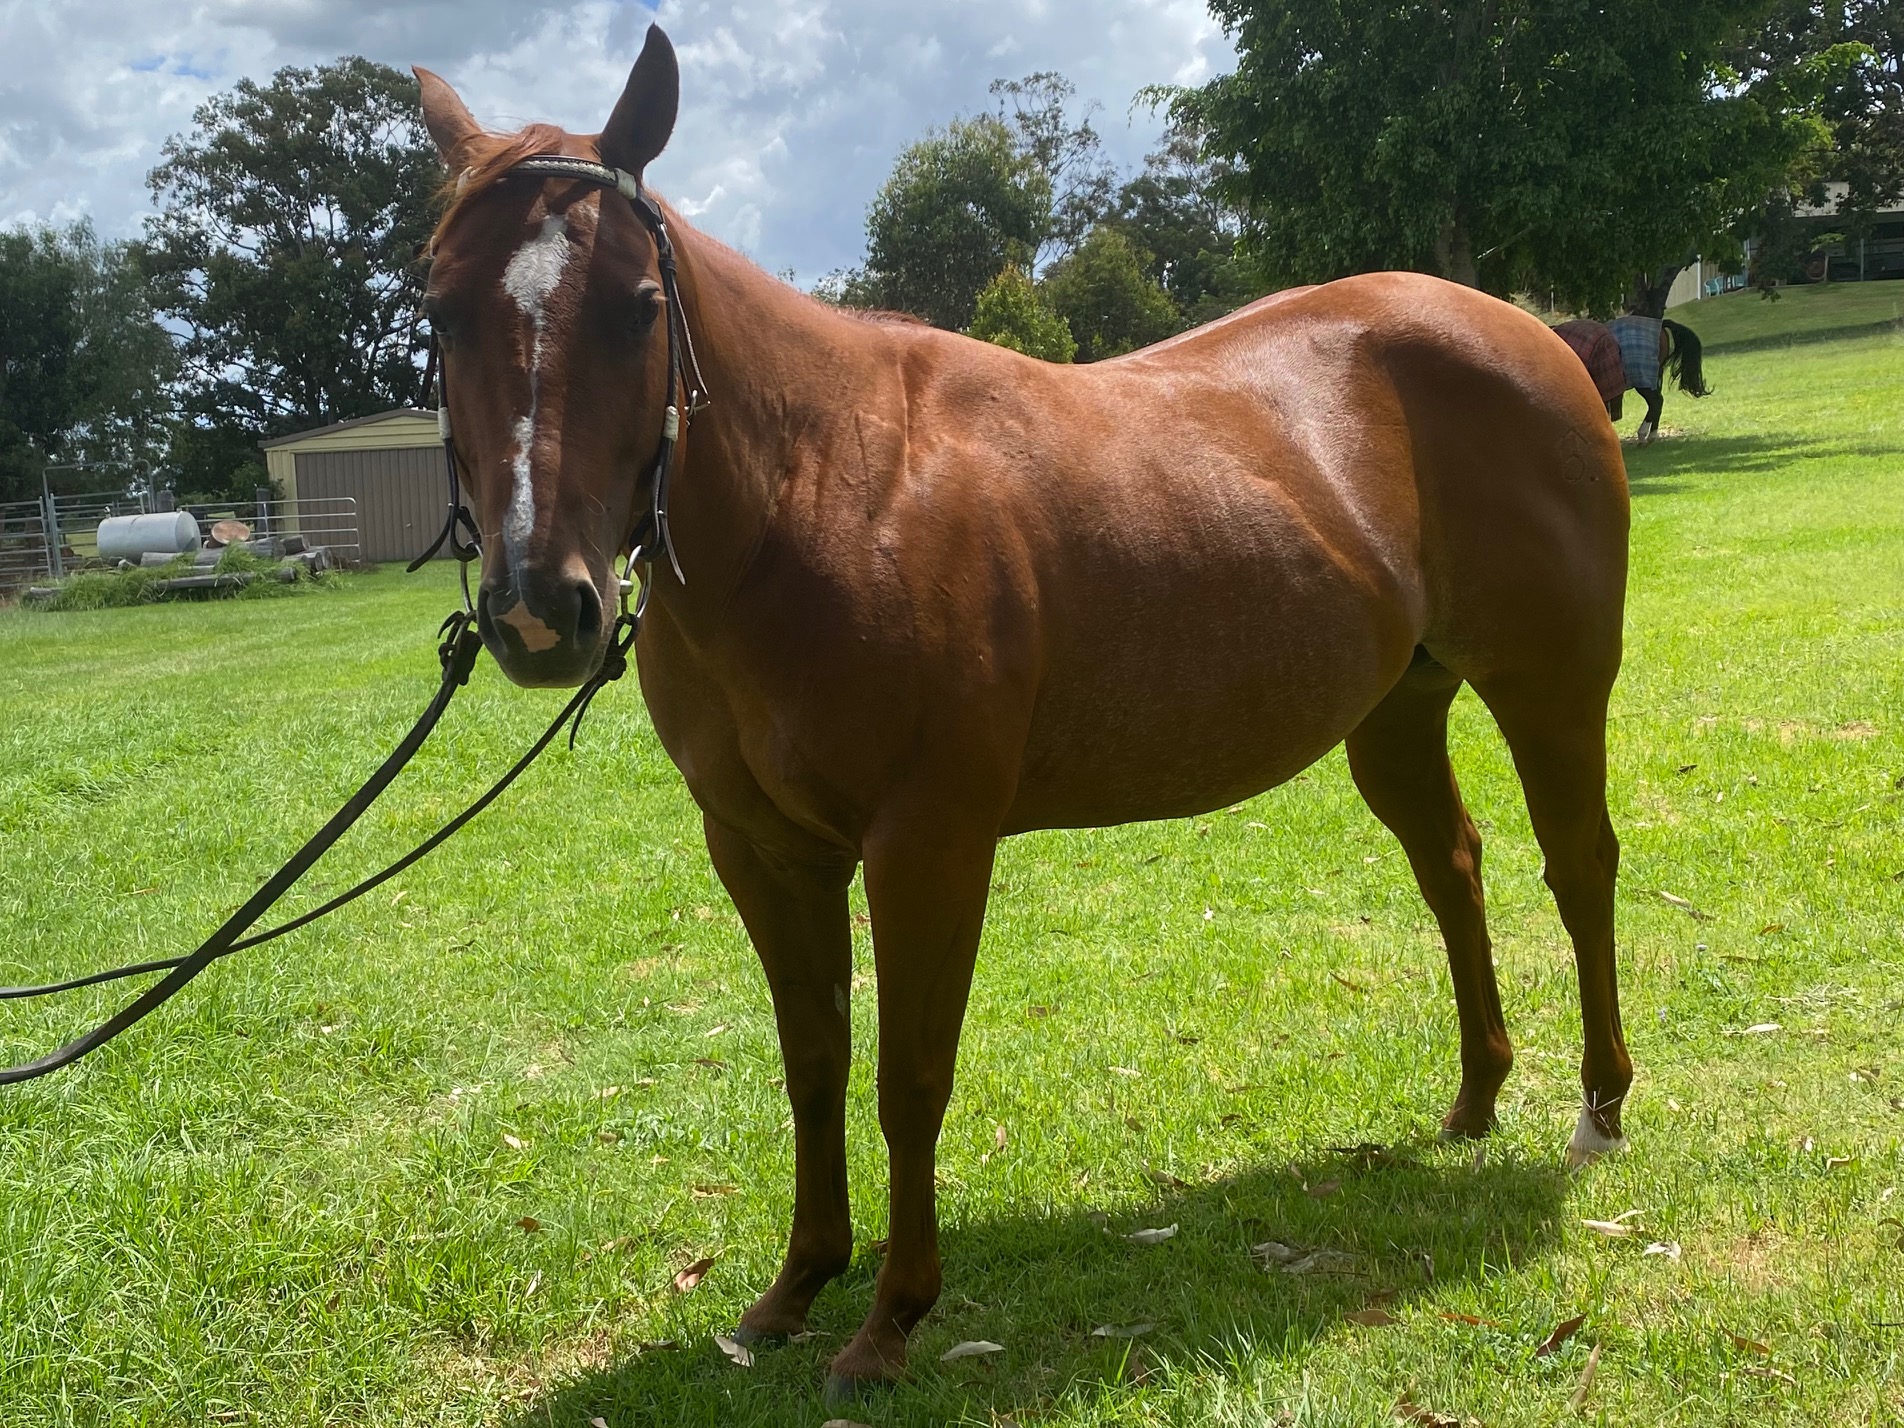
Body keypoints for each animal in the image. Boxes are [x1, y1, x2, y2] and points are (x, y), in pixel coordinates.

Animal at [414, 26, 1634, 1398]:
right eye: (440, 307)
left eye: (635, 306)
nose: (538, 609)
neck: (827, 492)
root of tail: (1531, 335)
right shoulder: (764, 852)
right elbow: (811, 1064)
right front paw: (793, 1289)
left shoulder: (927, 844)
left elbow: (907, 1076)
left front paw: (889, 1321)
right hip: (1394, 711)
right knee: (1453, 871)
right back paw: (1475, 1100)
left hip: (1550, 686)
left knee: (1577, 867)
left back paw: (1596, 1112)